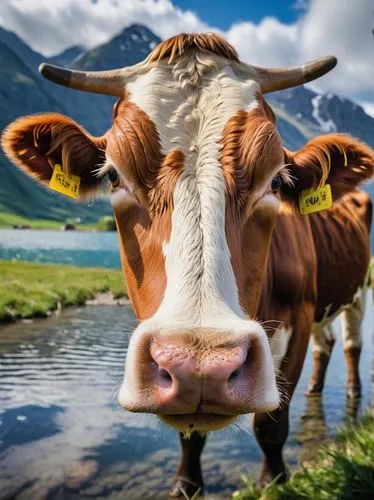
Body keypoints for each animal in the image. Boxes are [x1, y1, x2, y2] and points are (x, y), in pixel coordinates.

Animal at [1, 33, 372, 498]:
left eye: (276, 180)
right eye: (113, 176)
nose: (201, 366)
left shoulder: (299, 318)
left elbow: (271, 425)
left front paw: (273, 482)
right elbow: (189, 434)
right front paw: (185, 484)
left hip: (359, 291)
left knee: (352, 345)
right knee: (328, 347)